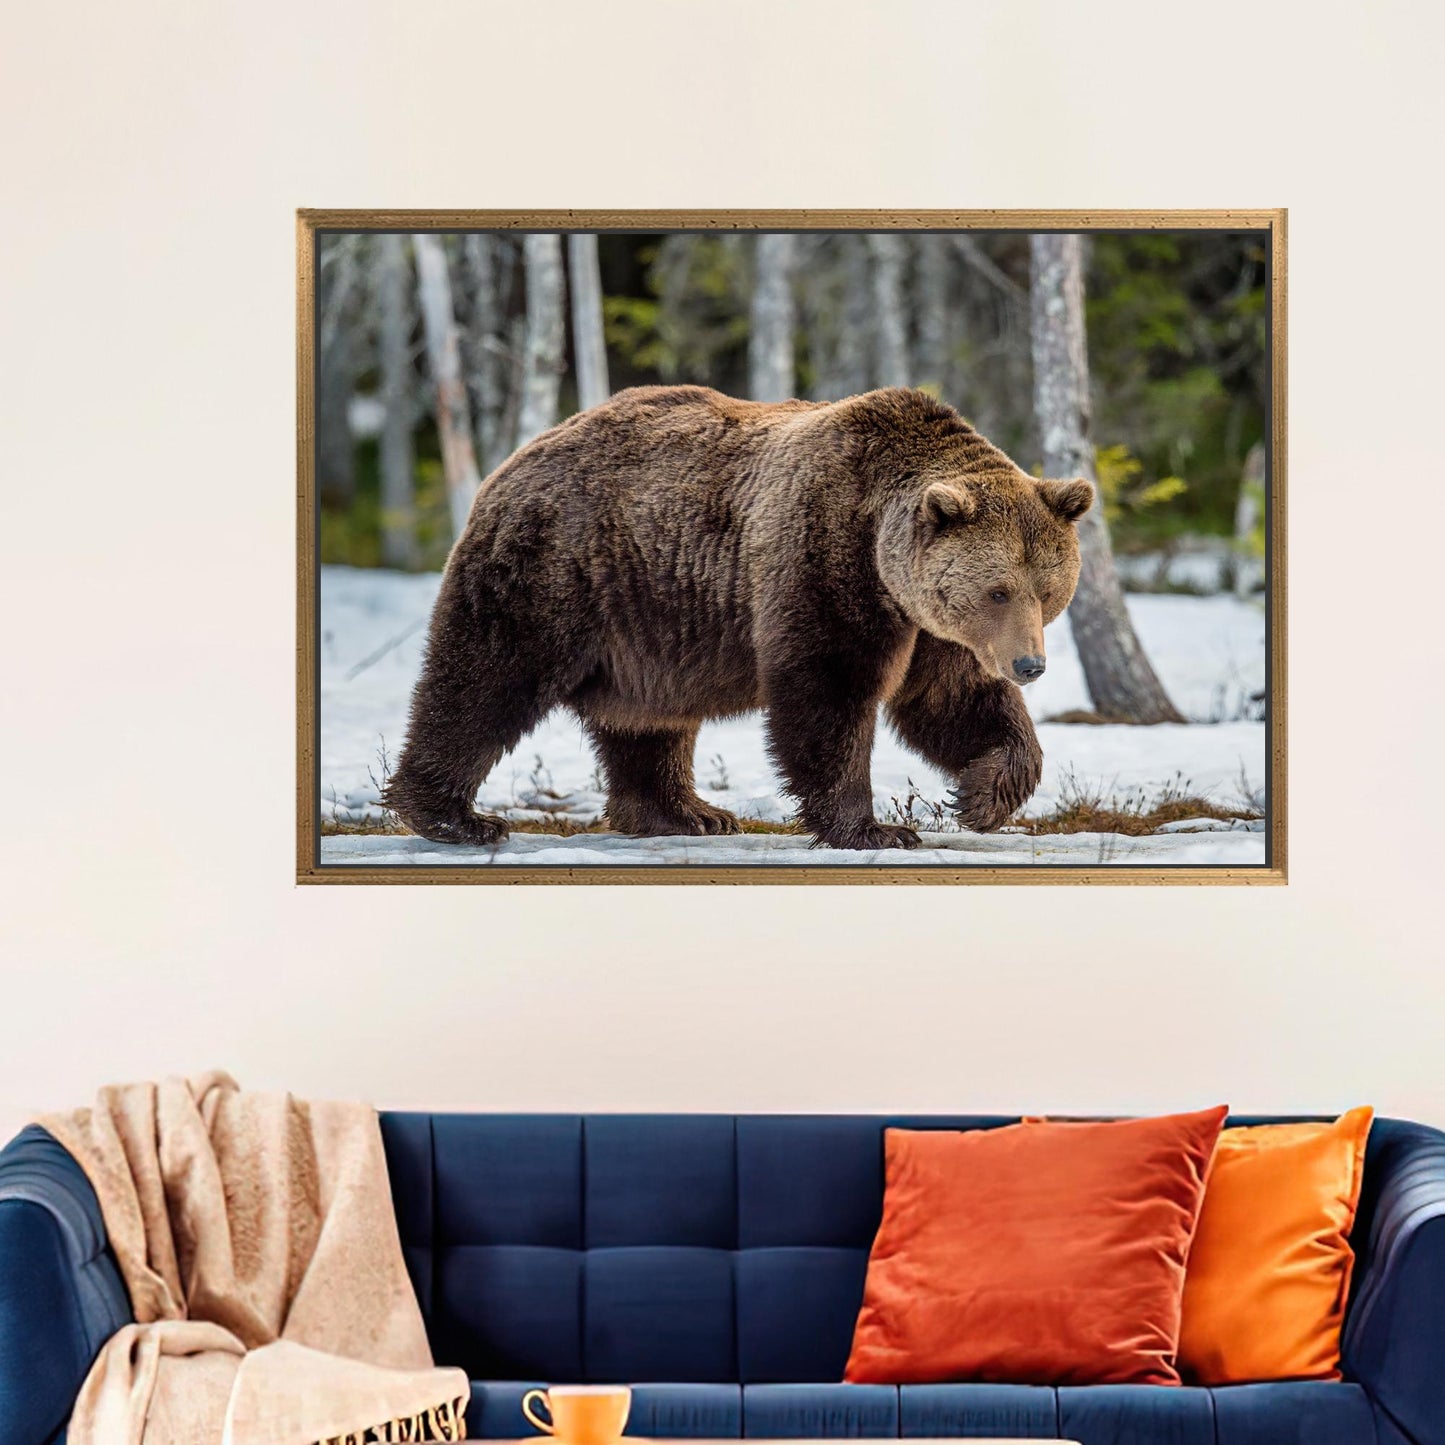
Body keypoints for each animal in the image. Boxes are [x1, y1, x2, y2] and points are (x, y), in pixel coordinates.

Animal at [383, 385, 1093, 851]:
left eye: (1047, 589)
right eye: (998, 590)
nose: (1030, 664)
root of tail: (513, 461)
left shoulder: (929, 625)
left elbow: (953, 700)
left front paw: (980, 797)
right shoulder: (822, 561)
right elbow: (828, 694)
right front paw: (875, 828)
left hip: (646, 624)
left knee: (648, 721)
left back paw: (686, 813)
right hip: (553, 576)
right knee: (485, 681)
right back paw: (454, 816)